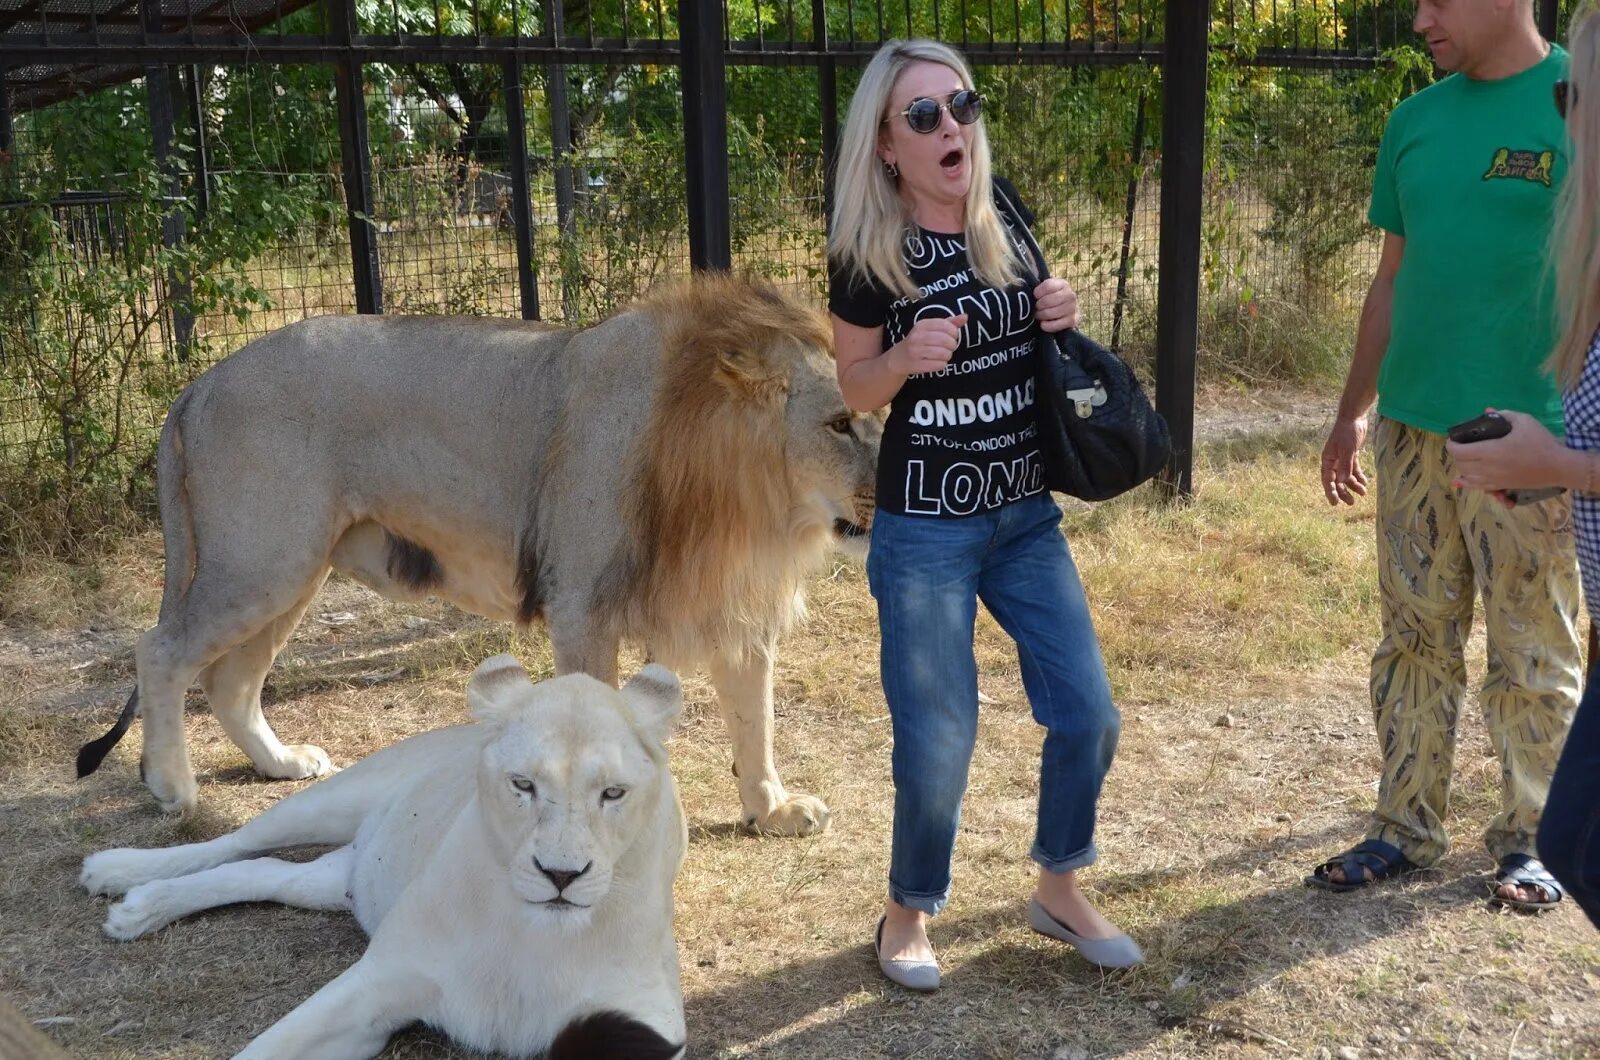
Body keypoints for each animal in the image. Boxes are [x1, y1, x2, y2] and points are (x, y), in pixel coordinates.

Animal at [81, 275, 883, 839]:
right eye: (839, 424)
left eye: (897, 409)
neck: (751, 504)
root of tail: (198, 385)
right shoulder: (581, 603)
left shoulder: (737, 609)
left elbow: (756, 719)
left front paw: (770, 810)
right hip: (261, 560)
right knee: (160, 651)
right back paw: (173, 789)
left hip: (292, 571)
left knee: (231, 682)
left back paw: (280, 764)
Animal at [82, 656, 688, 1060]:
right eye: (523, 785)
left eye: (613, 793)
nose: (561, 875)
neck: (532, 932)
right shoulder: (377, 984)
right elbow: (265, 1049)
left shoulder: (649, 1015)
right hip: (330, 800)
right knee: (232, 843)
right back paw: (119, 873)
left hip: (348, 878)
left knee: (268, 872)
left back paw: (138, 906)